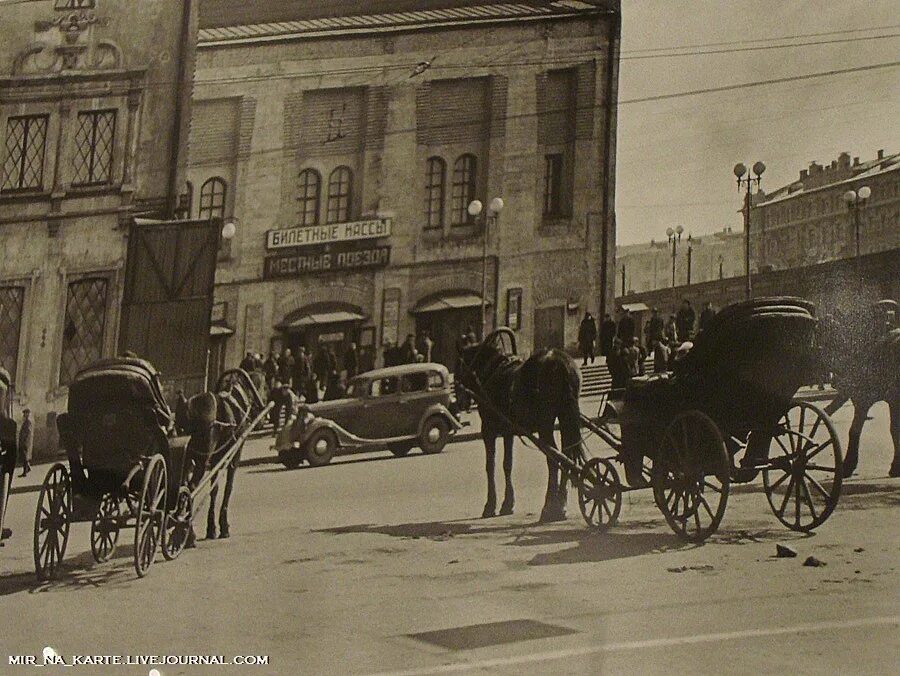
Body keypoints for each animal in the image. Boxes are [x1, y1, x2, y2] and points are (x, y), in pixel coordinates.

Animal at [458, 328, 584, 524]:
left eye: (458, 364)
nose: (459, 399)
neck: (491, 372)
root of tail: (561, 363)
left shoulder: (488, 430)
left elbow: (490, 465)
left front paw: (490, 505)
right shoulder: (508, 431)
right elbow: (507, 464)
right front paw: (507, 503)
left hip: (545, 424)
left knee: (554, 459)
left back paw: (549, 508)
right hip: (565, 418)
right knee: (566, 456)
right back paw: (561, 505)